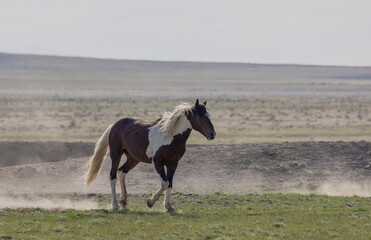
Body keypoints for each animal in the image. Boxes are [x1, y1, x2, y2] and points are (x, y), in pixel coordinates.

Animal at [84, 99, 217, 212]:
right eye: (200, 116)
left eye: (209, 115)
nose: (212, 134)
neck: (170, 136)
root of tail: (115, 125)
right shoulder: (158, 162)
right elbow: (164, 183)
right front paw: (150, 202)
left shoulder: (173, 164)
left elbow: (170, 184)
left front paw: (168, 207)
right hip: (116, 155)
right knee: (112, 177)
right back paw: (115, 205)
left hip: (133, 159)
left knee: (121, 172)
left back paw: (124, 202)